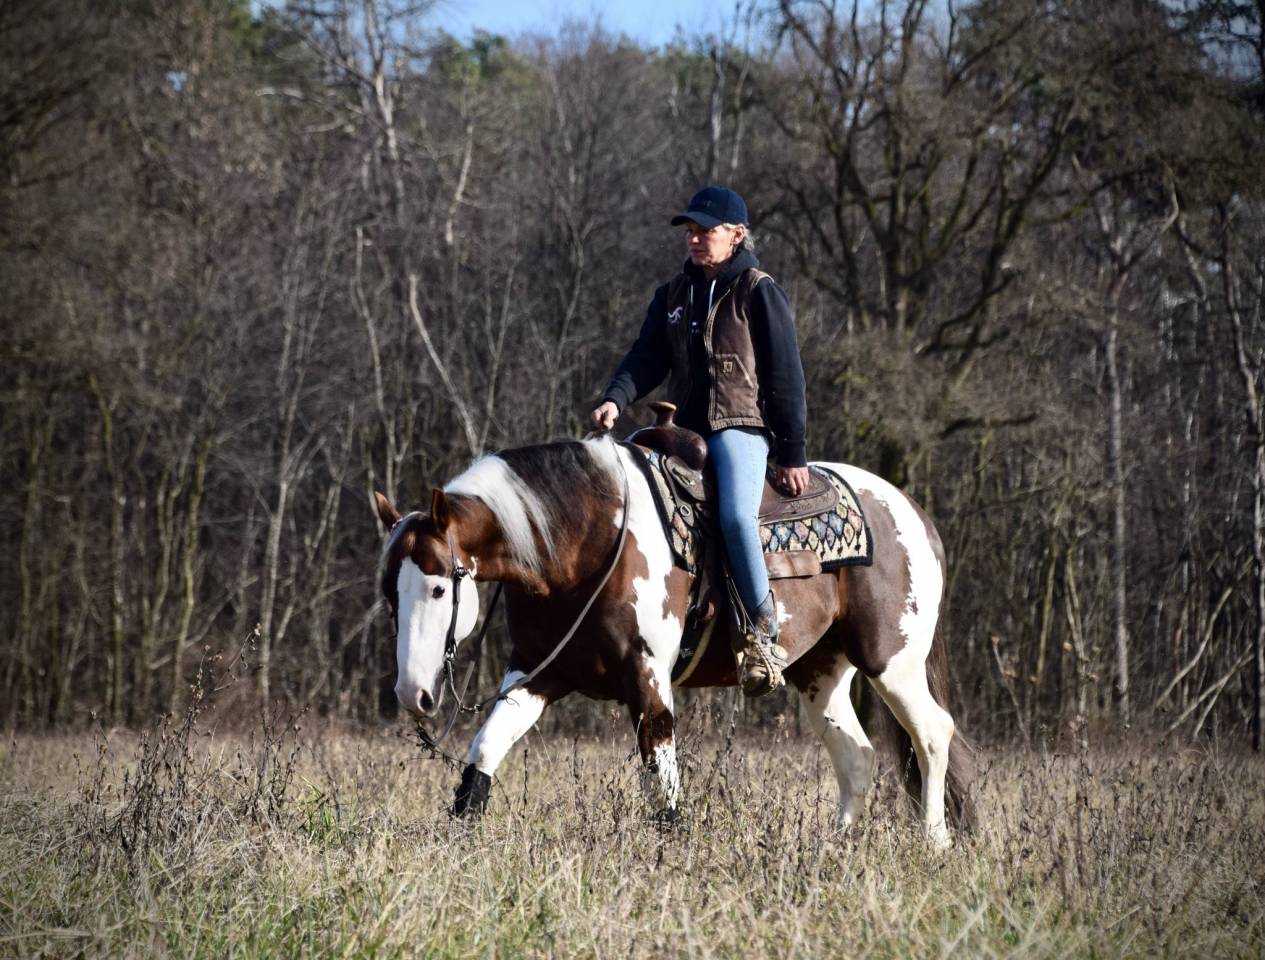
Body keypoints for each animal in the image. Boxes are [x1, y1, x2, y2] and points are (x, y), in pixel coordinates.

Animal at [374, 434, 973, 846]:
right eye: (388, 595)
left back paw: (933, 841)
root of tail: (914, 515)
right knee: (857, 756)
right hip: (820, 673)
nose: (411, 694)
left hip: (892, 661)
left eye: (436, 588)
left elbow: (661, 786)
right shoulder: (536, 674)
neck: (584, 541)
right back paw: (836, 846)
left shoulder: (647, 683)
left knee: (932, 734)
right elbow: (485, 750)